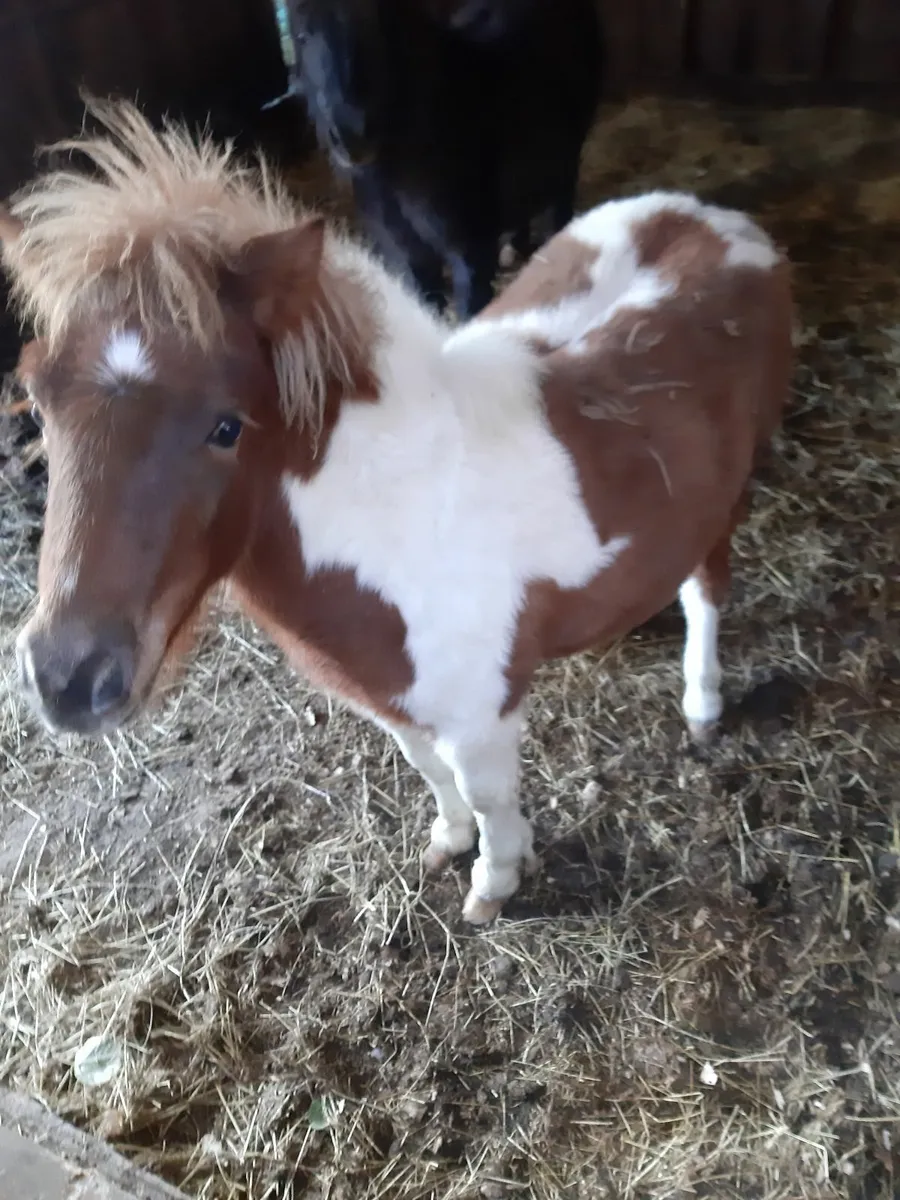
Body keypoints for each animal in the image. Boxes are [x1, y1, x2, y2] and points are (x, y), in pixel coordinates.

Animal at [1, 101, 793, 924]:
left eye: (226, 426)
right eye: (39, 403)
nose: (67, 680)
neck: (396, 516)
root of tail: (722, 222)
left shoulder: (481, 712)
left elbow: (487, 794)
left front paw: (495, 884)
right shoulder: (387, 695)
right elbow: (426, 768)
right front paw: (449, 843)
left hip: (727, 499)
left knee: (707, 591)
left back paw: (703, 702)